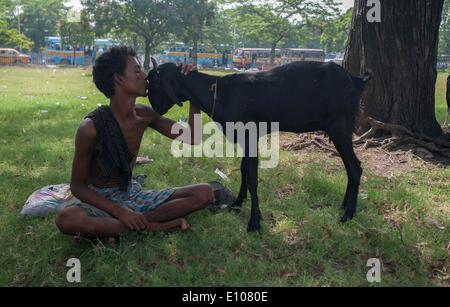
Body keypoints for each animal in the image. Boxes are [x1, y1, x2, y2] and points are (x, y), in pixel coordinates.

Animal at [147, 57, 370, 232]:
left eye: (155, 83)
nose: (154, 107)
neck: (220, 93)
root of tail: (356, 80)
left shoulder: (249, 135)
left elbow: (253, 177)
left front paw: (254, 221)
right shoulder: (244, 137)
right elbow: (244, 170)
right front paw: (237, 204)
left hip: (339, 127)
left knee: (355, 167)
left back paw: (348, 214)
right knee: (351, 168)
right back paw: (345, 206)